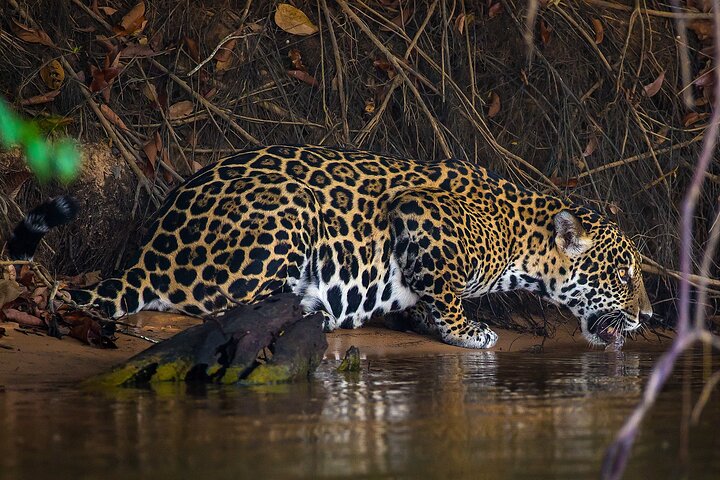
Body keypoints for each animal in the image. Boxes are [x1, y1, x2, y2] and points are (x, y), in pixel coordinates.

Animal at [6, 145, 653, 348]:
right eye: (624, 275)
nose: (648, 316)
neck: (521, 239)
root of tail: (152, 247)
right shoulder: (419, 214)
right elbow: (444, 291)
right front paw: (468, 330)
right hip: (291, 210)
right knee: (217, 308)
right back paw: (311, 309)